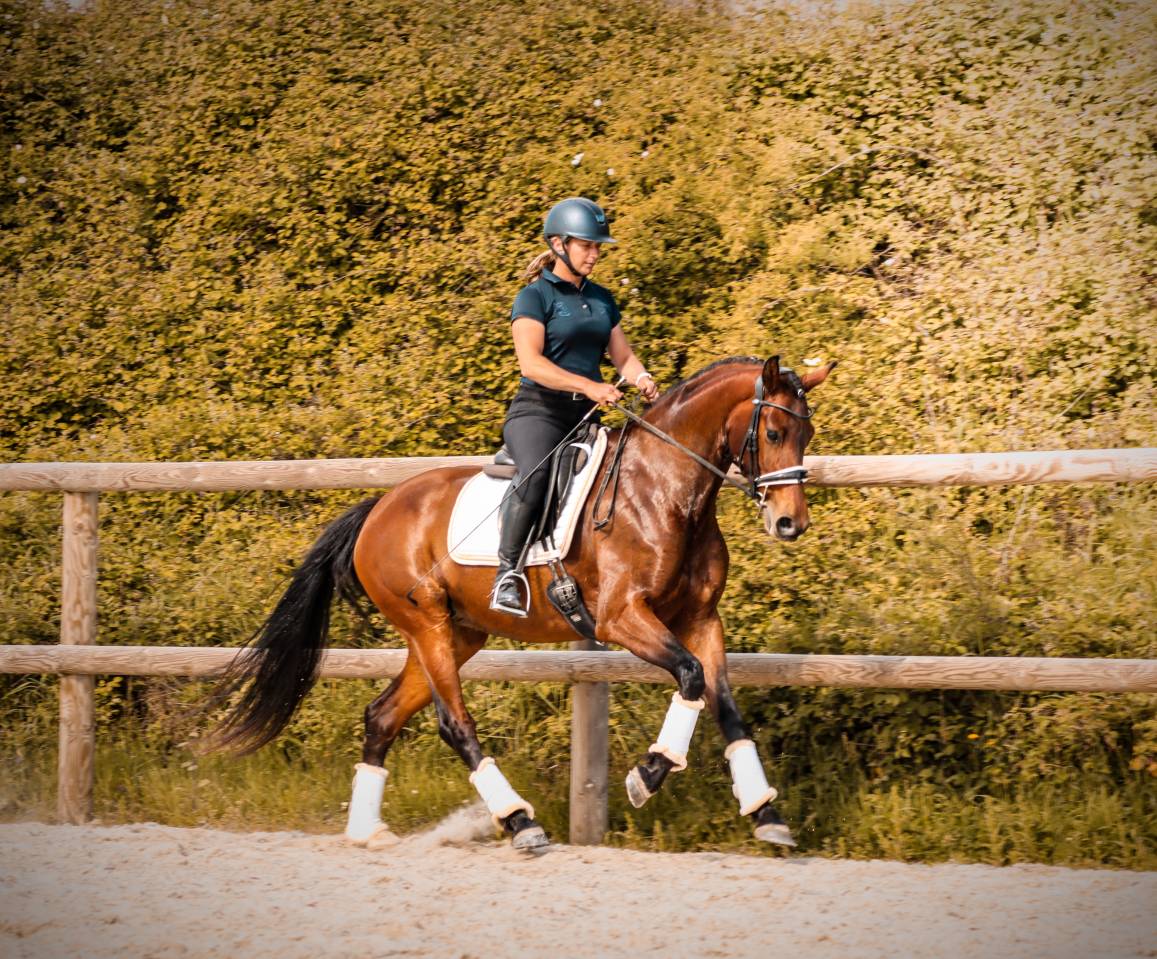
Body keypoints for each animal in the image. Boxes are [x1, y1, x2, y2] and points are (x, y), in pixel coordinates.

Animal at [210, 354, 836, 851]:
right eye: (774, 431)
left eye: (805, 436)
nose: (790, 524)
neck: (665, 492)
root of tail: (379, 509)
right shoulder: (622, 619)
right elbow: (689, 678)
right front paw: (649, 773)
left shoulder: (701, 619)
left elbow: (724, 704)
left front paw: (766, 814)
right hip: (428, 626)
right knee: (454, 723)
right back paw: (519, 822)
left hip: (457, 633)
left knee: (382, 715)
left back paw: (368, 831)